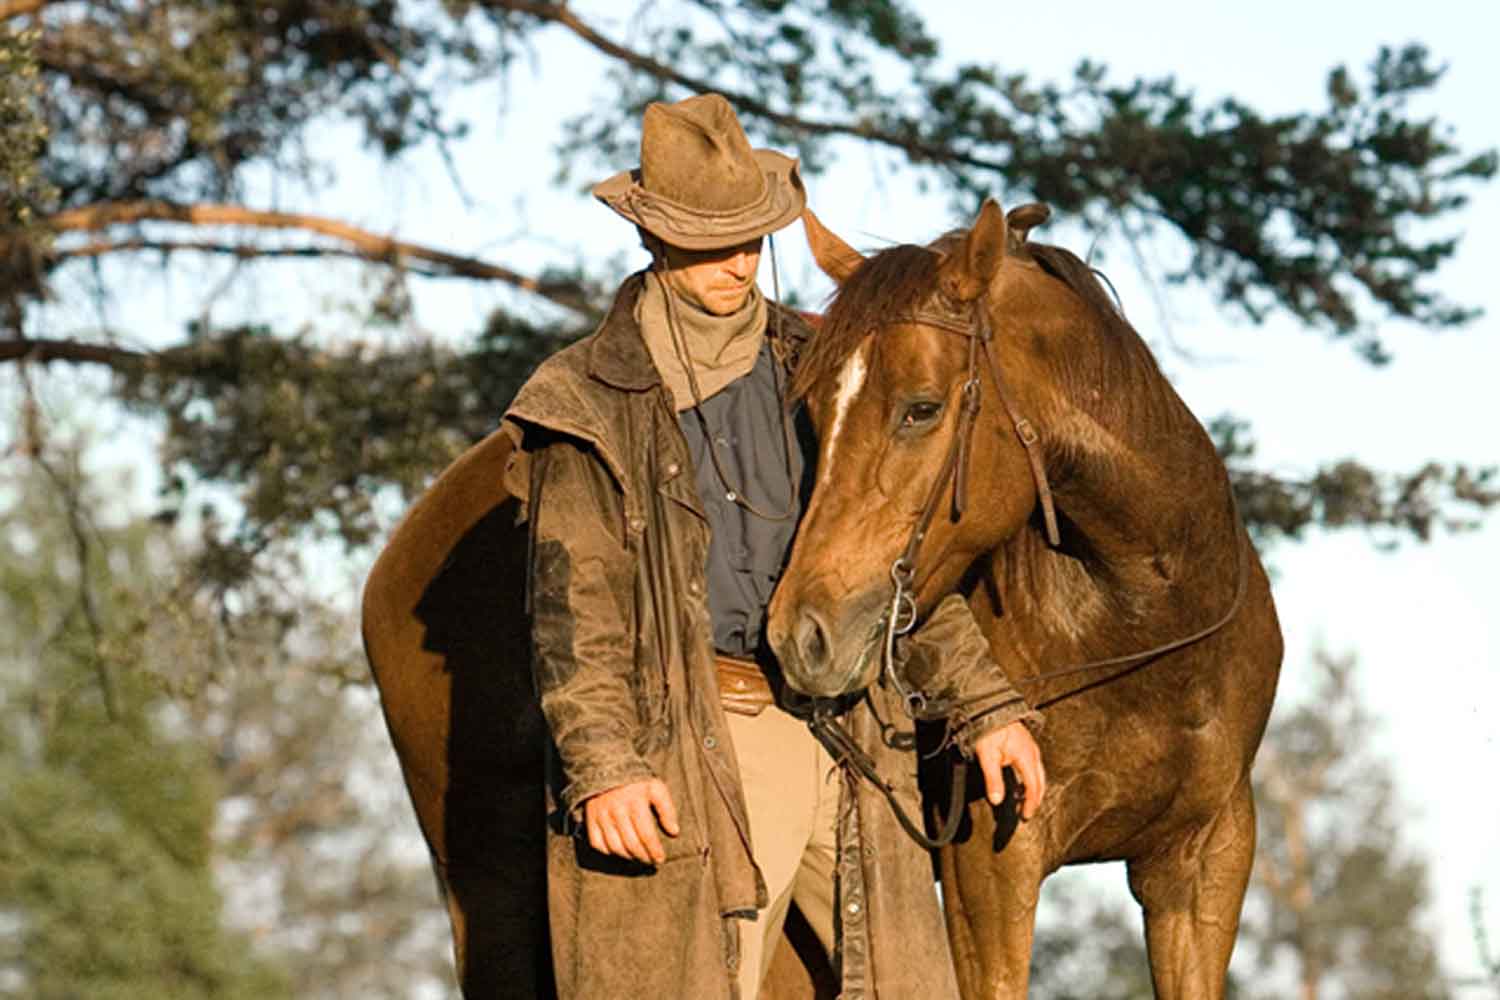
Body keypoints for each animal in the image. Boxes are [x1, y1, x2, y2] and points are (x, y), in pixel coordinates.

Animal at [763, 199, 1283, 998]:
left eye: (921, 409)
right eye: (813, 414)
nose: (801, 633)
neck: (1142, 628)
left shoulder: (1204, 863)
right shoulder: (991, 862)